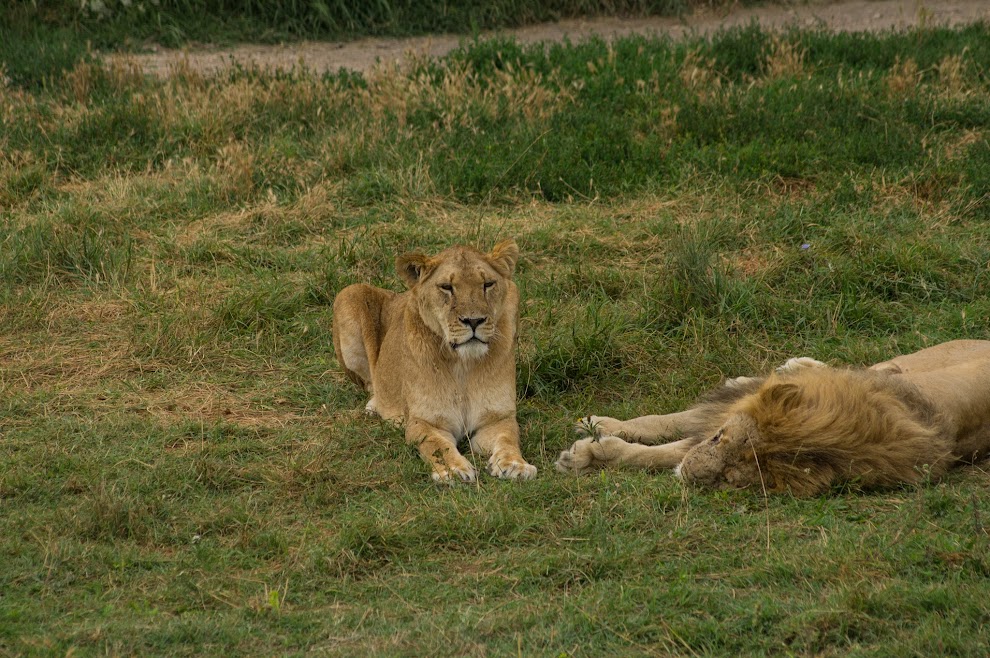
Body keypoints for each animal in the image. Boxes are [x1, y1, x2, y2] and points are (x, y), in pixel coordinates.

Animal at [334, 238, 540, 480]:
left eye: (488, 284)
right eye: (447, 287)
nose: (474, 321)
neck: (463, 364)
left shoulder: (497, 419)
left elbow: (508, 439)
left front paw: (516, 465)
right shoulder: (424, 421)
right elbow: (436, 445)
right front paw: (453, 470)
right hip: (349, 293)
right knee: (370, 384)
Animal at [560, 340, 990, 494]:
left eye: (731, 478)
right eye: (720, 439)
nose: (690, 477)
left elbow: (661, 452)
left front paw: (590, 453)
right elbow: (665, 421)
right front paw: (597, 427)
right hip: (900, 366)